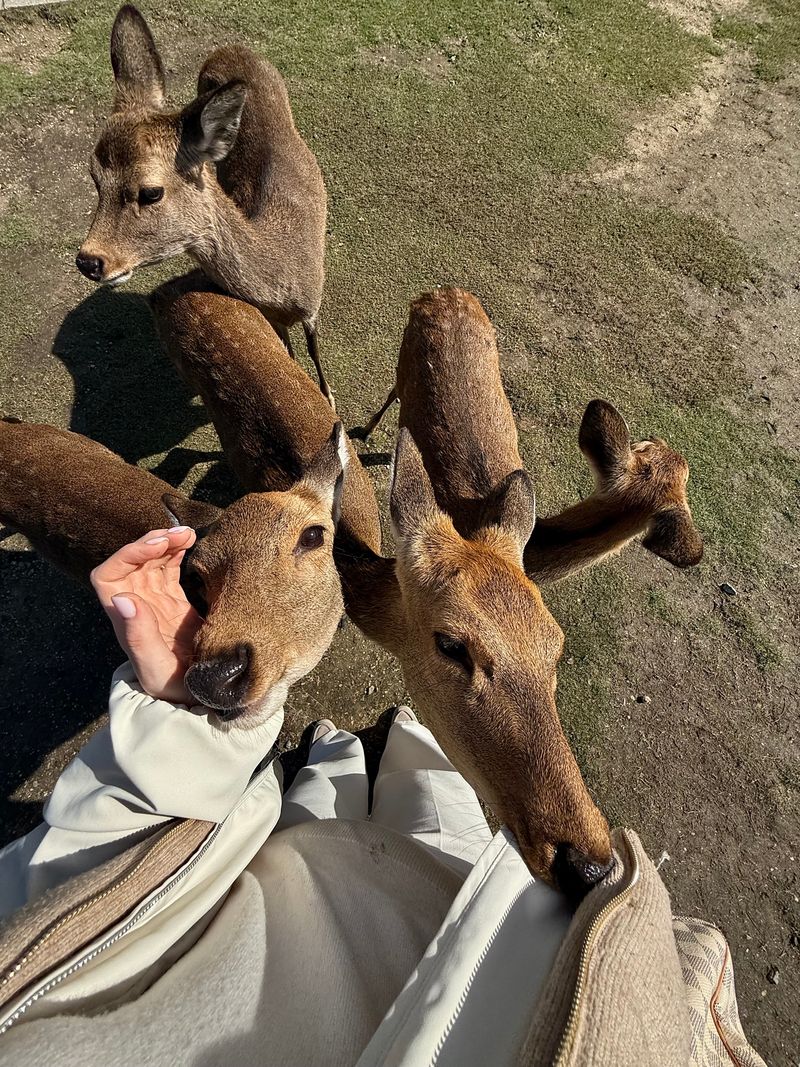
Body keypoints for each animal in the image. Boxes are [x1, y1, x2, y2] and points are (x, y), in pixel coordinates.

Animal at [75, 4, 333, 406]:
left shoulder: (314, 304)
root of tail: (228, 49)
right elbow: (287, 353)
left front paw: (331, 399)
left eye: (151, 192)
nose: (89, 261)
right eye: (94, 177)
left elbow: (316, 356)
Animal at [354, 288, 703, 579]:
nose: (660, 438)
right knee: (393, 391)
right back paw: (366, 431)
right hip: (404, 357)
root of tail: (442, 291)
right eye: (644, 444)